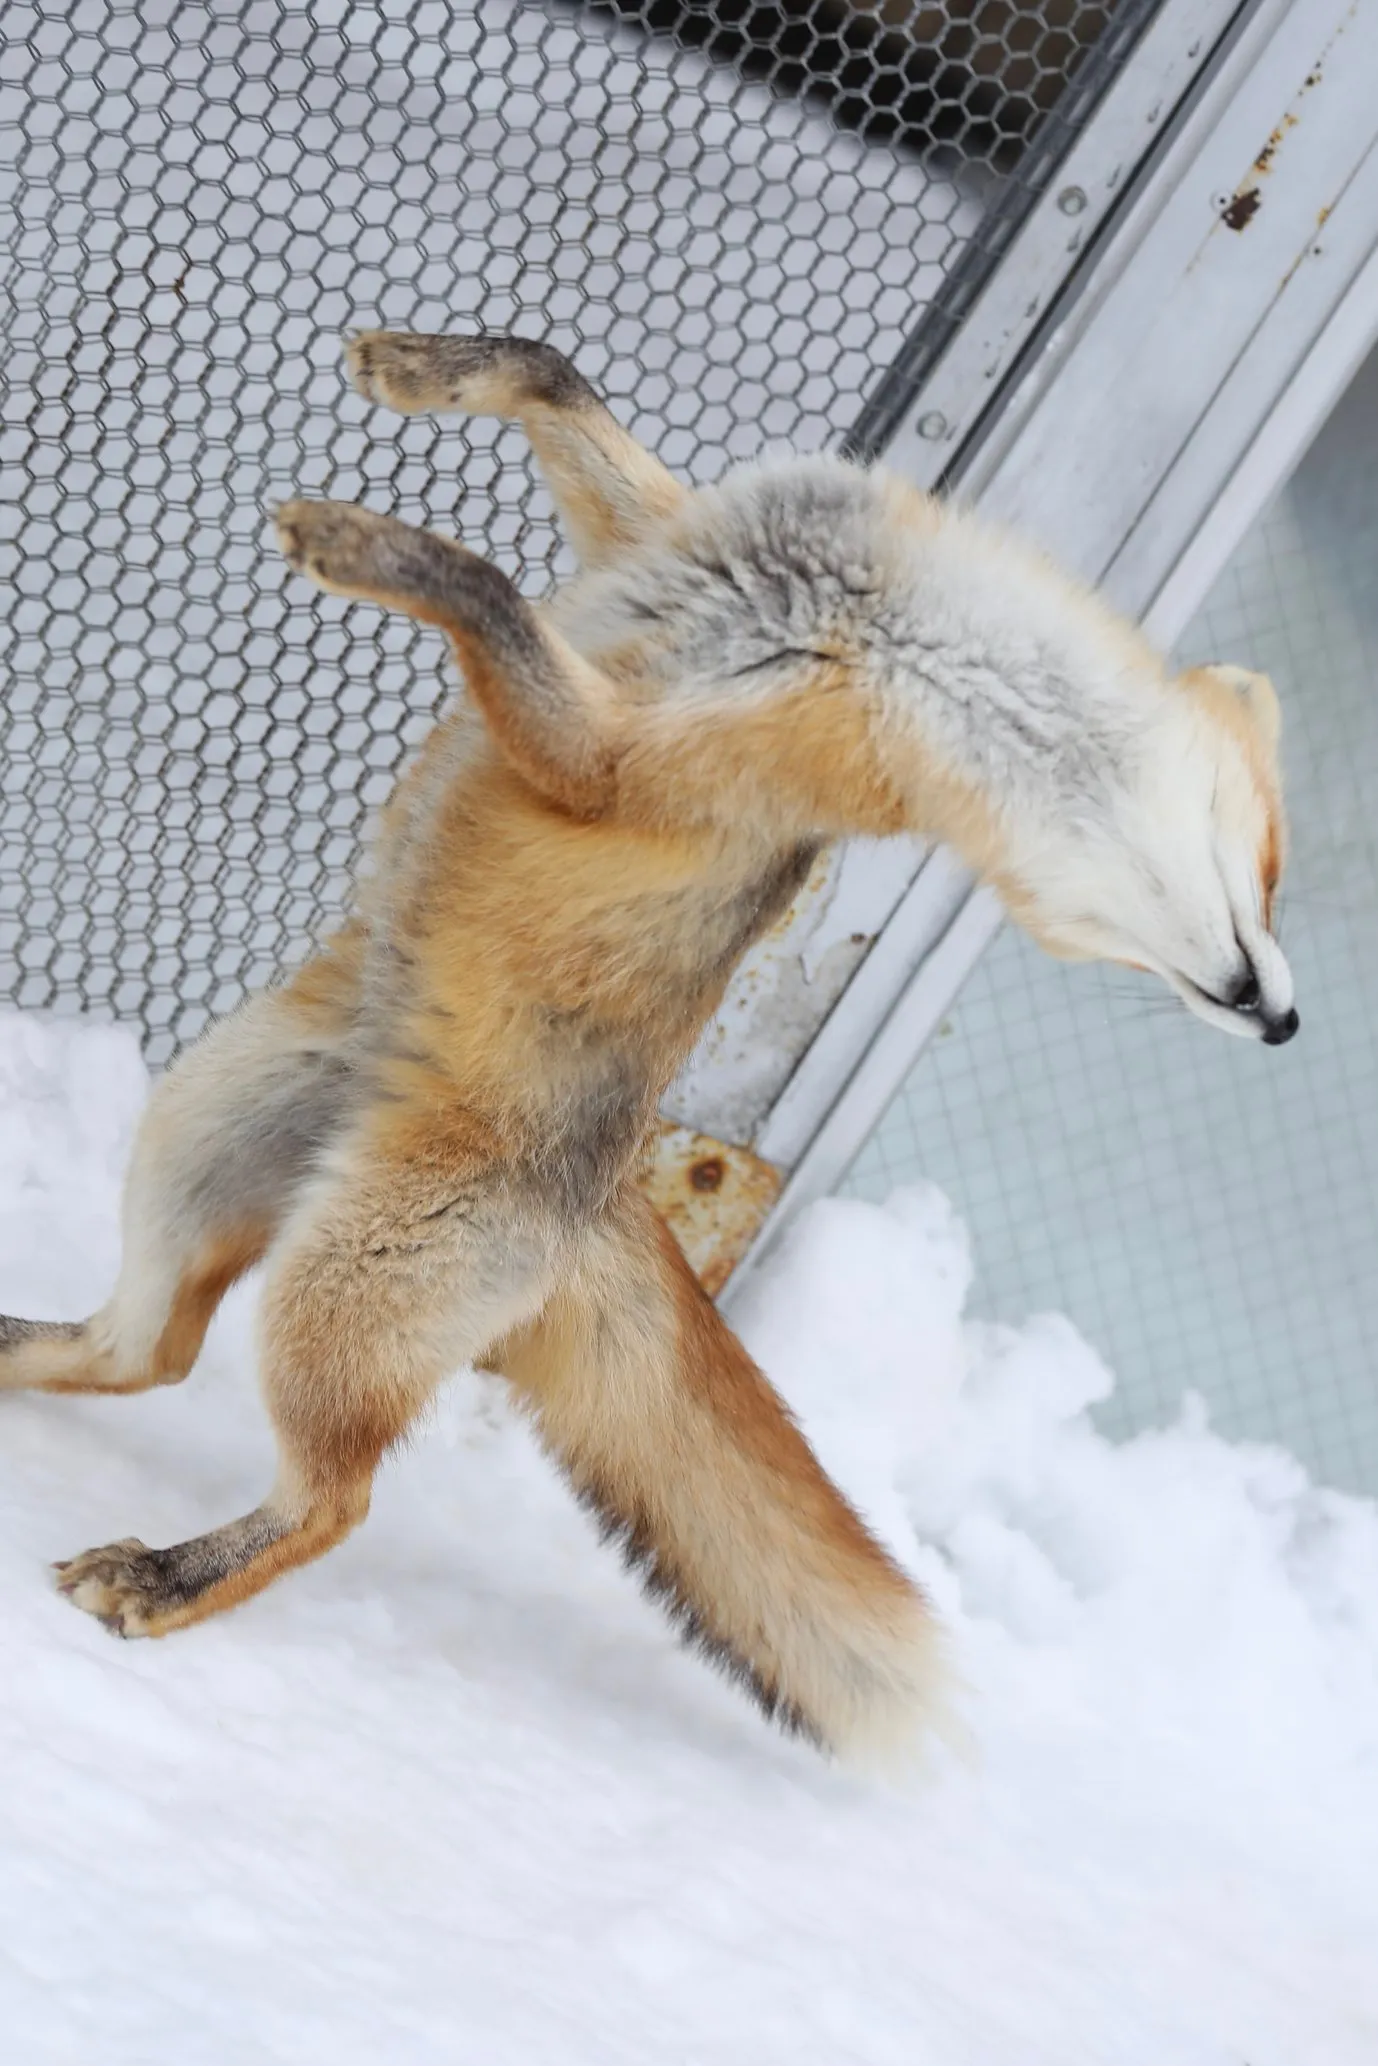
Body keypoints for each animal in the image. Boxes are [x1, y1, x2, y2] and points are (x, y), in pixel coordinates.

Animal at [0, 329, 1296, 1760]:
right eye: (1277, 874)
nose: (1284, 1020)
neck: (897, 645)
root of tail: (613, 1198)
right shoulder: (666, 534)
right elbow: (562, 391)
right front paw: (430, 370)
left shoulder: (618, 754)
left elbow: (494, 590)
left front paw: (367, 542)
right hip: (200, 1136)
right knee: (139, 1353)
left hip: (336, 1297)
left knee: (329, 1499)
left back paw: (168, 1574)